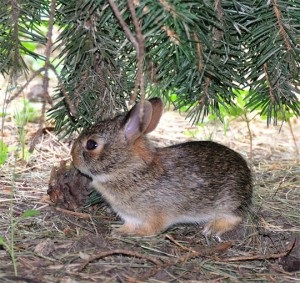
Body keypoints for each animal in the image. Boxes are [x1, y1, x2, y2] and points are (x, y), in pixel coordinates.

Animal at [71, 98, 252, 239]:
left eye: (91, 144)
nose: (73, 157)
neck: (128, 169)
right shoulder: (129, 216)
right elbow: (129, 224)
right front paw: (120, 231)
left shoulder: (157, 214)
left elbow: (152, 229)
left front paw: (136, 233)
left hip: (228, 202)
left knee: (235, 217)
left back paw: (212, 228)